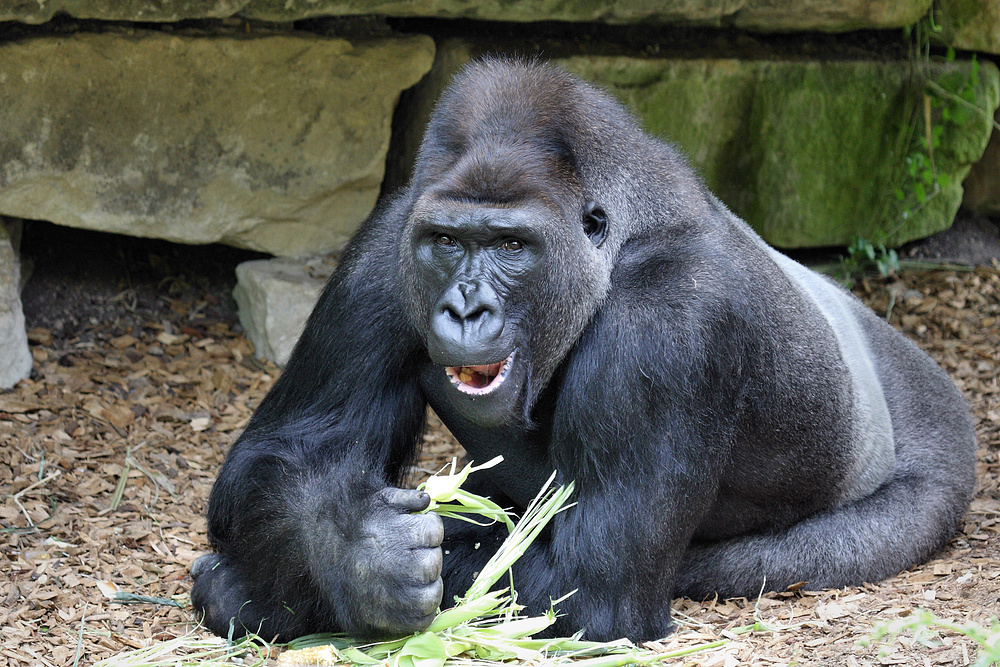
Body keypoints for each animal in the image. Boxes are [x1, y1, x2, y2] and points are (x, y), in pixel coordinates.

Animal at [189, 60, 976, 644]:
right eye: (447, 240)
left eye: (512, 245)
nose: (465, 308)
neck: (618, 238)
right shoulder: (386, 251)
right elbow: (278, 456)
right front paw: (352, 552)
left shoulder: (674, 317)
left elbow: (590, 584)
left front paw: (283, 585)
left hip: (917, 484)